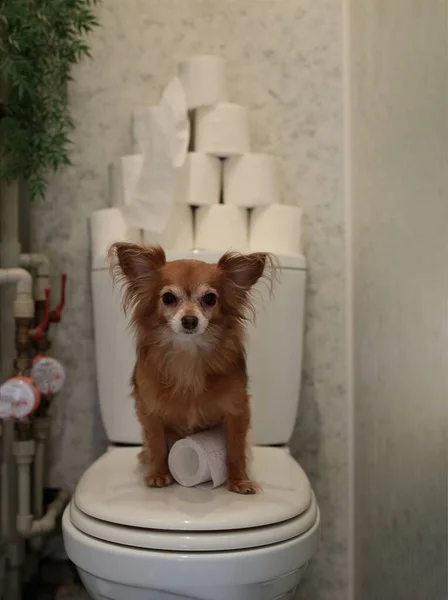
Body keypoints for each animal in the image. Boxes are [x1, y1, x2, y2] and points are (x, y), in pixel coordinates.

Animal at [109, 241, 276, 494]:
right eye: (168, 298)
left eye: (210, 299)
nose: (189, 320)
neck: (188, 356)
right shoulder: (150, 412)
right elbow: (157, 445)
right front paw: (158, 474)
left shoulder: (238, 410)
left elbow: (235, 449)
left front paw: (239, 480)